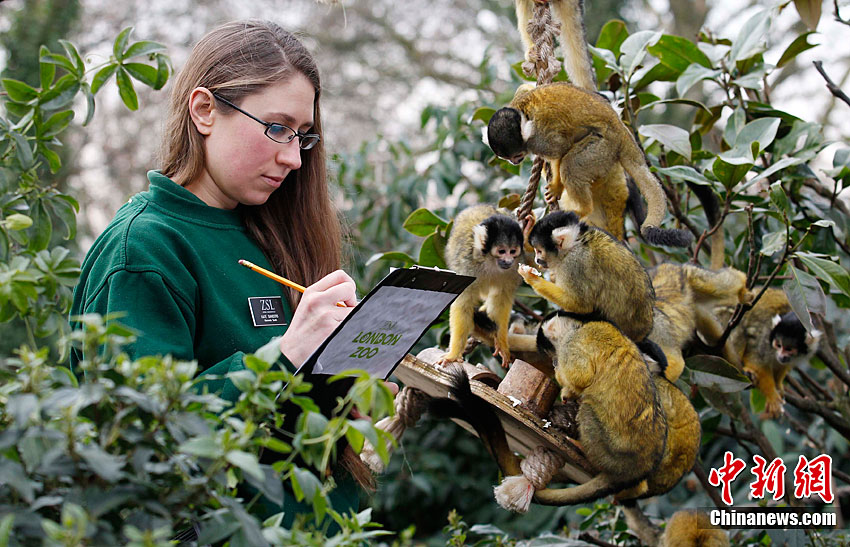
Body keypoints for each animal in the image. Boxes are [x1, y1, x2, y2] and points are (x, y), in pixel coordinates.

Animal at [438, 206, 524, 368]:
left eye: (513, 251)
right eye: (502, 251)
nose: (508, 260)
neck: (490, 262)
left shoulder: (515, 269)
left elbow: (502, 300)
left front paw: (502, 342)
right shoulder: (468, 267)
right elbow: (463, 303)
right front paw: (454, 355)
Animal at [484, 83, 688, 246]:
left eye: (517, 155)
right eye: (507, 158)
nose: (514, 161)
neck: (523, 119)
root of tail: (622, 132)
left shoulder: (539, 139)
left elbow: (560, 150)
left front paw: (557, 187)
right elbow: (525, 88)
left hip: (603, 147)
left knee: (571, 166)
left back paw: (582, 209)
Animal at [512, 211, 652, 342]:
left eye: (539, 251)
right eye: (536, 251)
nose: (537, 259)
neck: (575, 243)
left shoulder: (574, 263)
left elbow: (581, 305)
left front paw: (532, 277)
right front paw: (528, 227)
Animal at [720, 292, 820, 420]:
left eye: (789, 349)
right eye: (778, 345)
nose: (782, 356)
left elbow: (783, 365)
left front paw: (778, 384)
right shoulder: (765, 335)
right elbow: (756, 358)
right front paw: (772, 395)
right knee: (740, 326)